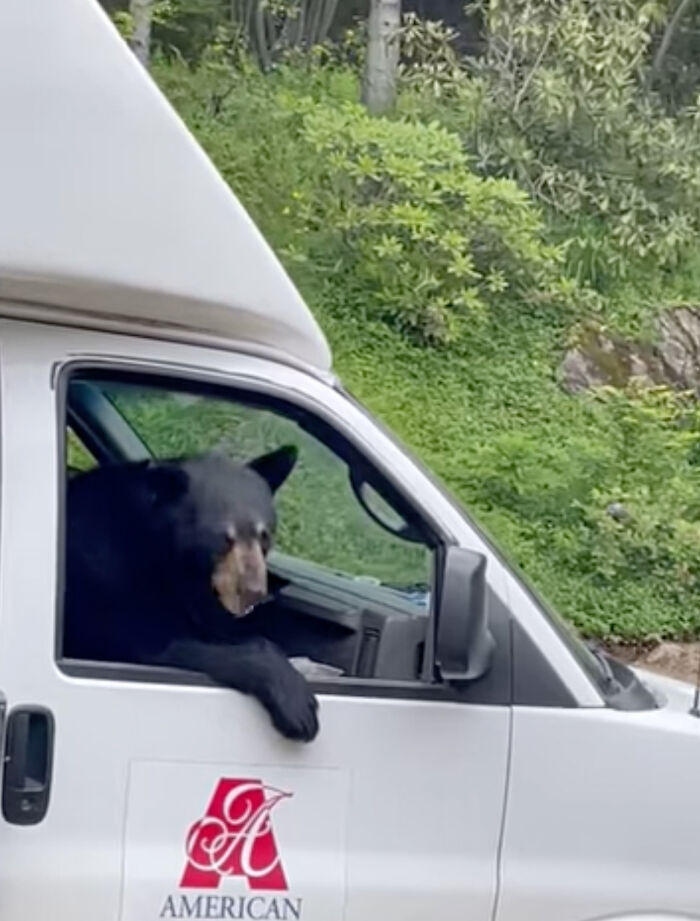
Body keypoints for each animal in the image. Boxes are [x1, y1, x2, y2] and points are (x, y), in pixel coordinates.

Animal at [62, 445, 319, 742]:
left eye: (264, 535)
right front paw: (298, 704)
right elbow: (155, 640)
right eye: (224, 538)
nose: (254, 592)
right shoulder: (110, 574)